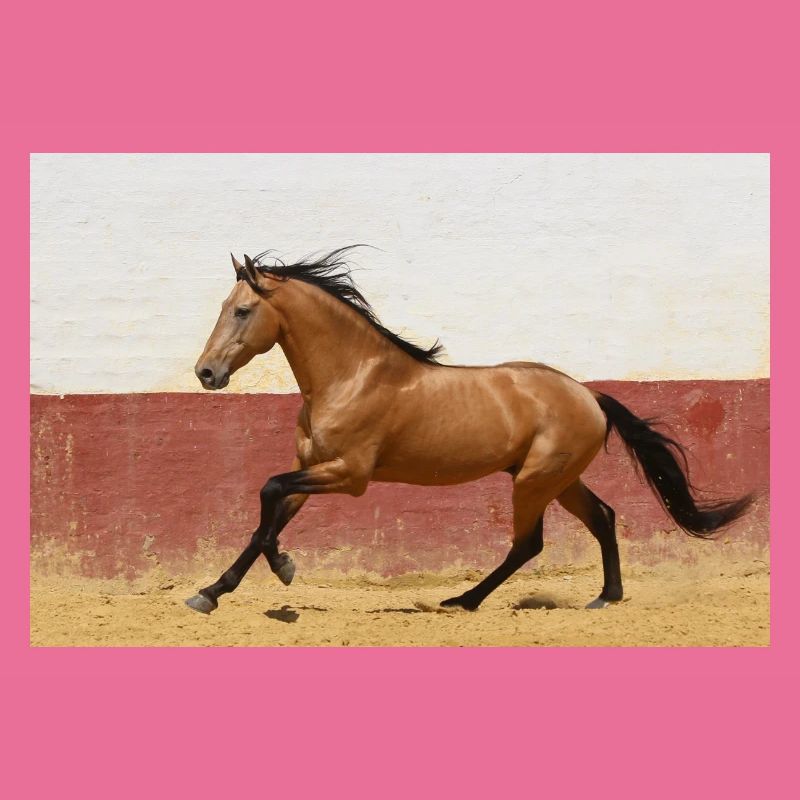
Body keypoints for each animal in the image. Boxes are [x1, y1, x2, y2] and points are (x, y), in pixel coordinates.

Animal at [185, 247, 752, 615]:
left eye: (242, 310)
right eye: (223, 308)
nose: (206, 373)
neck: (352, 375)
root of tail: (590, 396)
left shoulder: (349, 475)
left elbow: (267, 494)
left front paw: (277, 568)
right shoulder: (312, 467)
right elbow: (267, 517)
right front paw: (215, 590)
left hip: (534, 482)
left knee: (529, 544)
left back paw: (464, 599)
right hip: (558, 480)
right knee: (603, 517)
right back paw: (604, 598)